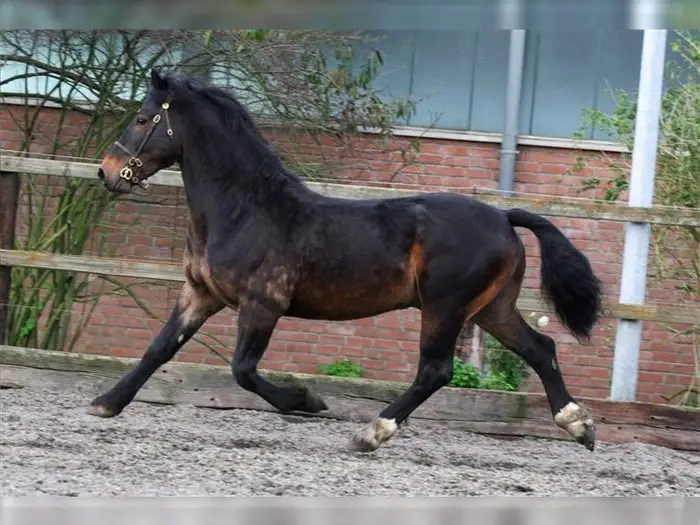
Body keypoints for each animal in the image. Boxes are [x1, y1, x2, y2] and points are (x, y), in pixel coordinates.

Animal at [90, 69, 600, 452]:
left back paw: (371, 432)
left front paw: (306, 399)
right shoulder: (200, 294)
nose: (106, 172)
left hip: (445, 306)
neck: (245, 209)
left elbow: (243, 370)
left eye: (143, 118)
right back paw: (578, 425)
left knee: (436, 370)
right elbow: (159, 348)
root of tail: (502, 215)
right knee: (540, 349)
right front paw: (107, 402)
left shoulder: (262, 305)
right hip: (491, 308)